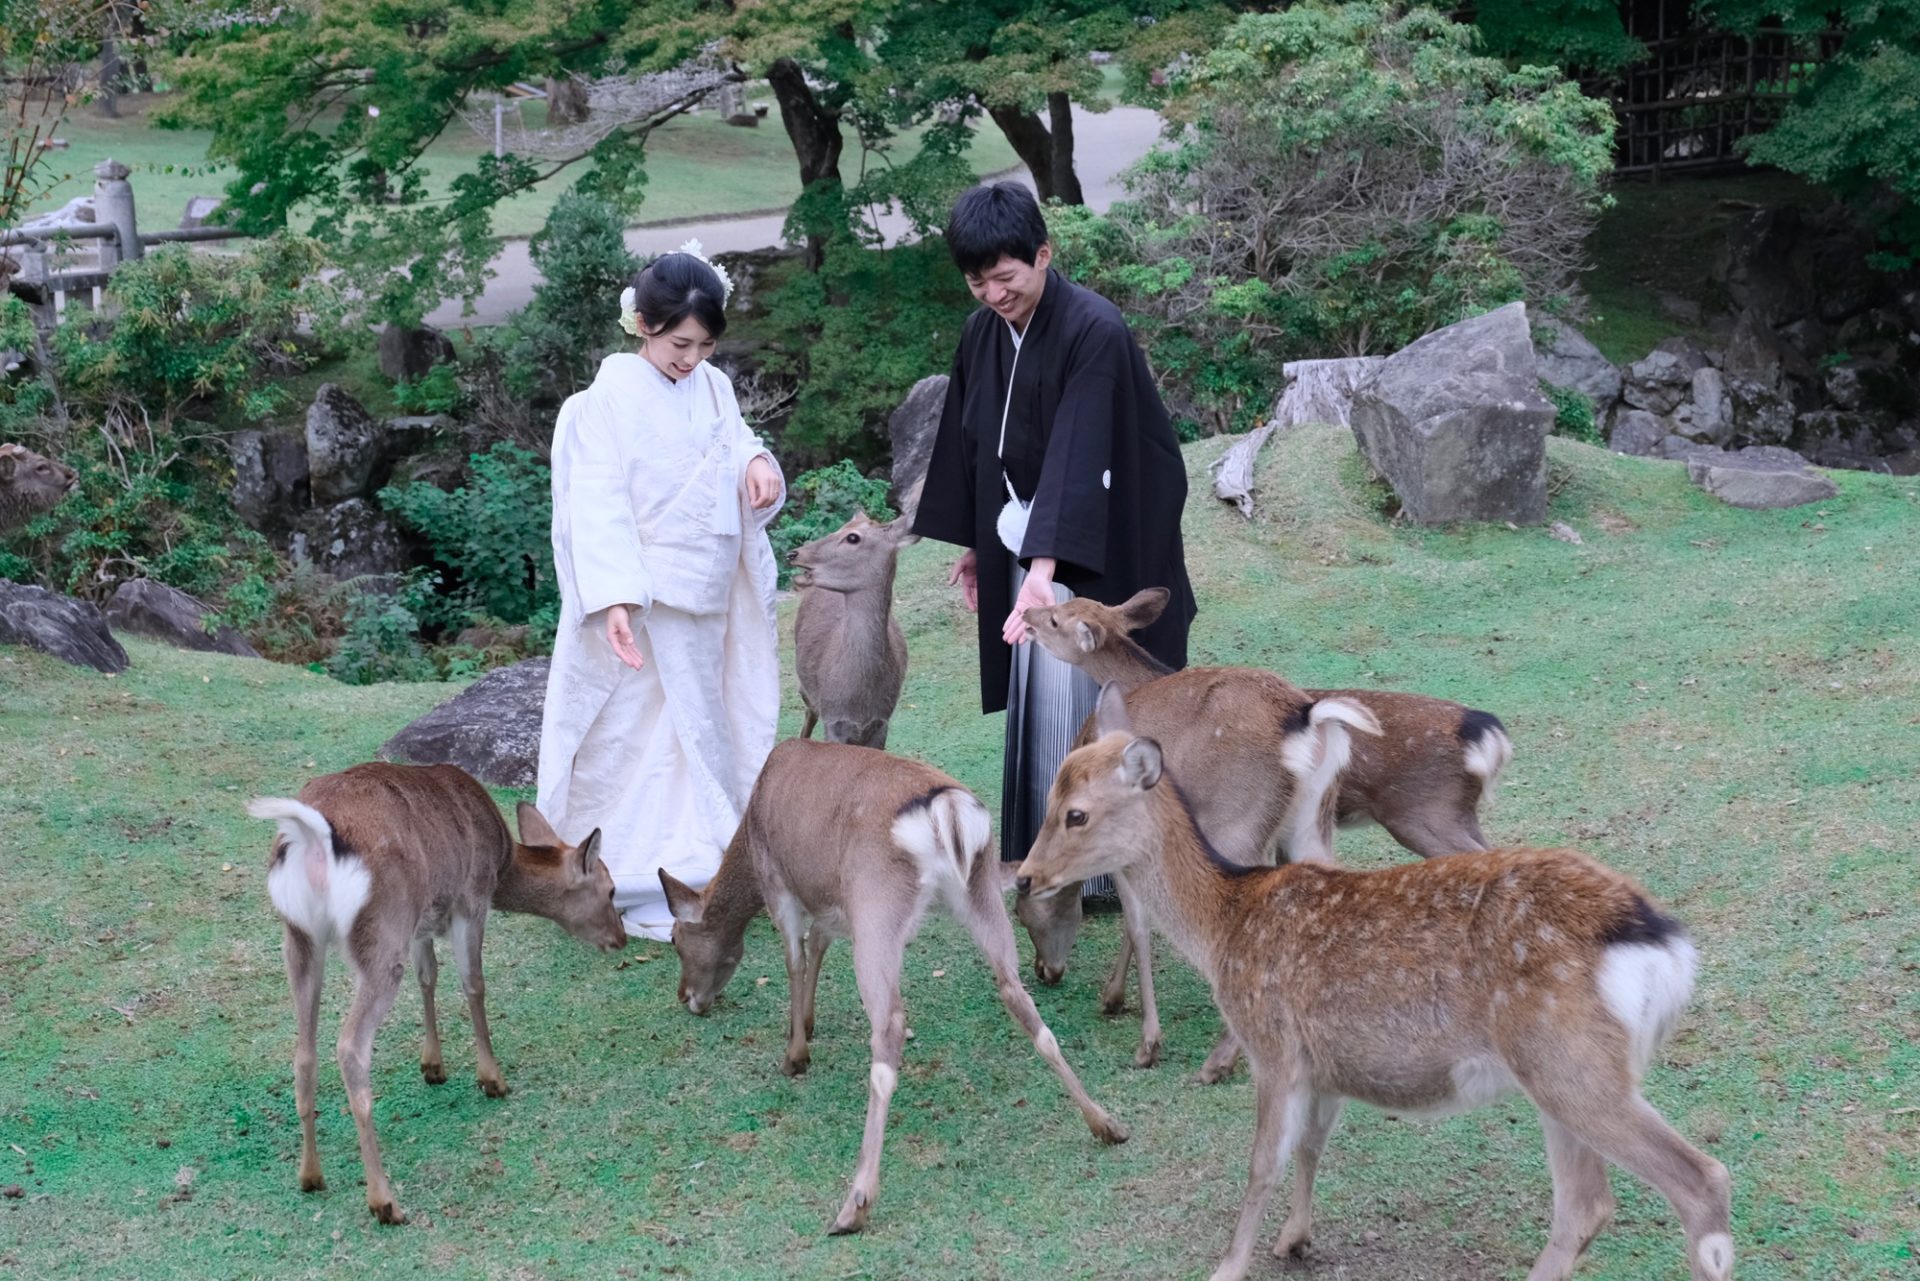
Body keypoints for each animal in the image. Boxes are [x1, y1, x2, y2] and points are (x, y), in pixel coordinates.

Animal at [245, 760, 622, 1221]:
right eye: (611, 889)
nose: (621, 939)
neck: (502, 864)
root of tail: (313, 838)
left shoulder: (421, 922)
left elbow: (428, 976)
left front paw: (433, 1066)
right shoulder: (470, 900)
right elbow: (473, 983)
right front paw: (492, 1079)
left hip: (299, 938)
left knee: (303, 1051)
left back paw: (311, 1175)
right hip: (382, 931)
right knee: (350, 1046)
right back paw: (384, 1200)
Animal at [660, 737, 1121, 1236]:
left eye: (675, 938)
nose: (687, 997)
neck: (747, 833)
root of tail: (946, 810)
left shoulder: (779, 885)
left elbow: (795, 959)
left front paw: (794, 1054)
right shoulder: (834, 902)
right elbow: (819, 943)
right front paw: (808, 1023)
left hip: (877, 904)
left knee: (889, 1029)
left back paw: (855, 1202)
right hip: (979, 892)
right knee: (1020, 998)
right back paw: (1105, 1122)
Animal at [1013, 687, 1735, 1281]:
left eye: (1075, 813)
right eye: (1047, 798)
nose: (1023, 875)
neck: (1225, 928)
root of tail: (1663, 944)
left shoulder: (1274, 1045)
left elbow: (1261, 1164)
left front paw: (1229, 1265)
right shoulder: (1328, 1065)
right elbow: (1311, 1146)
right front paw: (1296, 1238)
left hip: (1573, 1063)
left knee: (1700, 1179)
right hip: (1560, 1075)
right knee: (1587, 1205)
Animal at [1021, 587, 1512, 1075]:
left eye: (1056, 619)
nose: (1026, 614)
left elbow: (1139, 921)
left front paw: (1138, 1030)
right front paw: (1114, 1000)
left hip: (1375, 818)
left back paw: (1223, 1058)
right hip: (1324, 819)